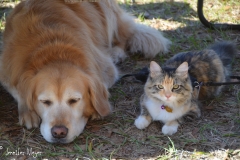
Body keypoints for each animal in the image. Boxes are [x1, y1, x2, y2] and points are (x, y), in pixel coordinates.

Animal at [0, 0, 171, 142]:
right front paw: (27, 111)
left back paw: (116, 52)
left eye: (74, 100)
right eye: (45, 102)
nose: (59, 132)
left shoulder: (107, 70)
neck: (53, 50)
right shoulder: (6, 70)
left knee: (121, 38)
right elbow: (18, 89)